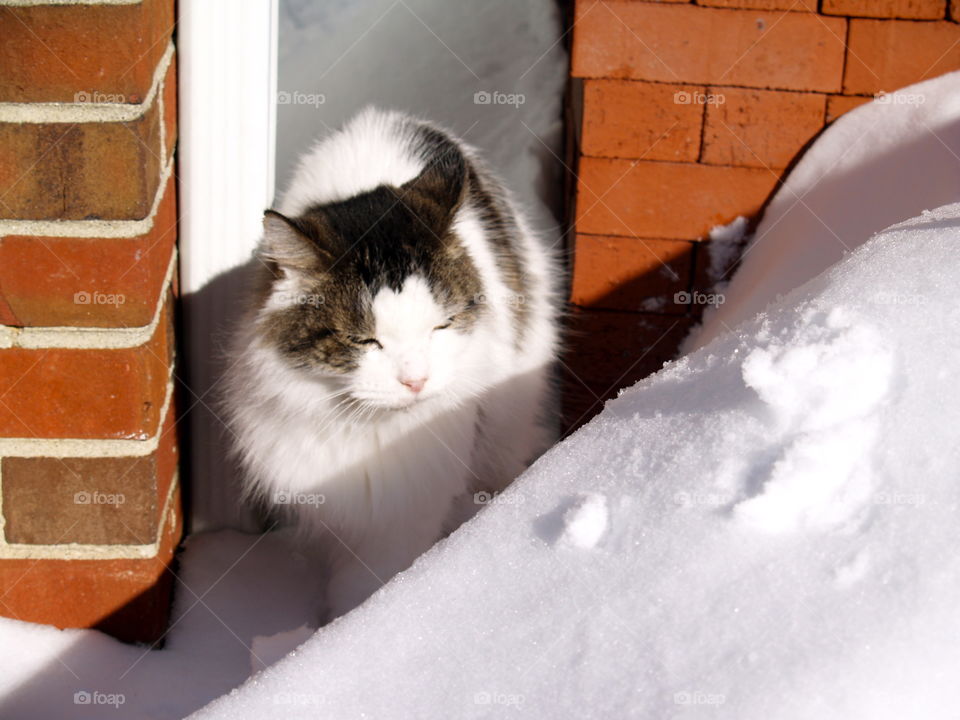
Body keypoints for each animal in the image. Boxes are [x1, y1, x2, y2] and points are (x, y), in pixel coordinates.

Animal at [221, 108, 560, 620]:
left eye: (442, 326)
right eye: (365, 341)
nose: (415, 380)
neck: (369, 433)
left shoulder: (405, 508)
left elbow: (377, 580)